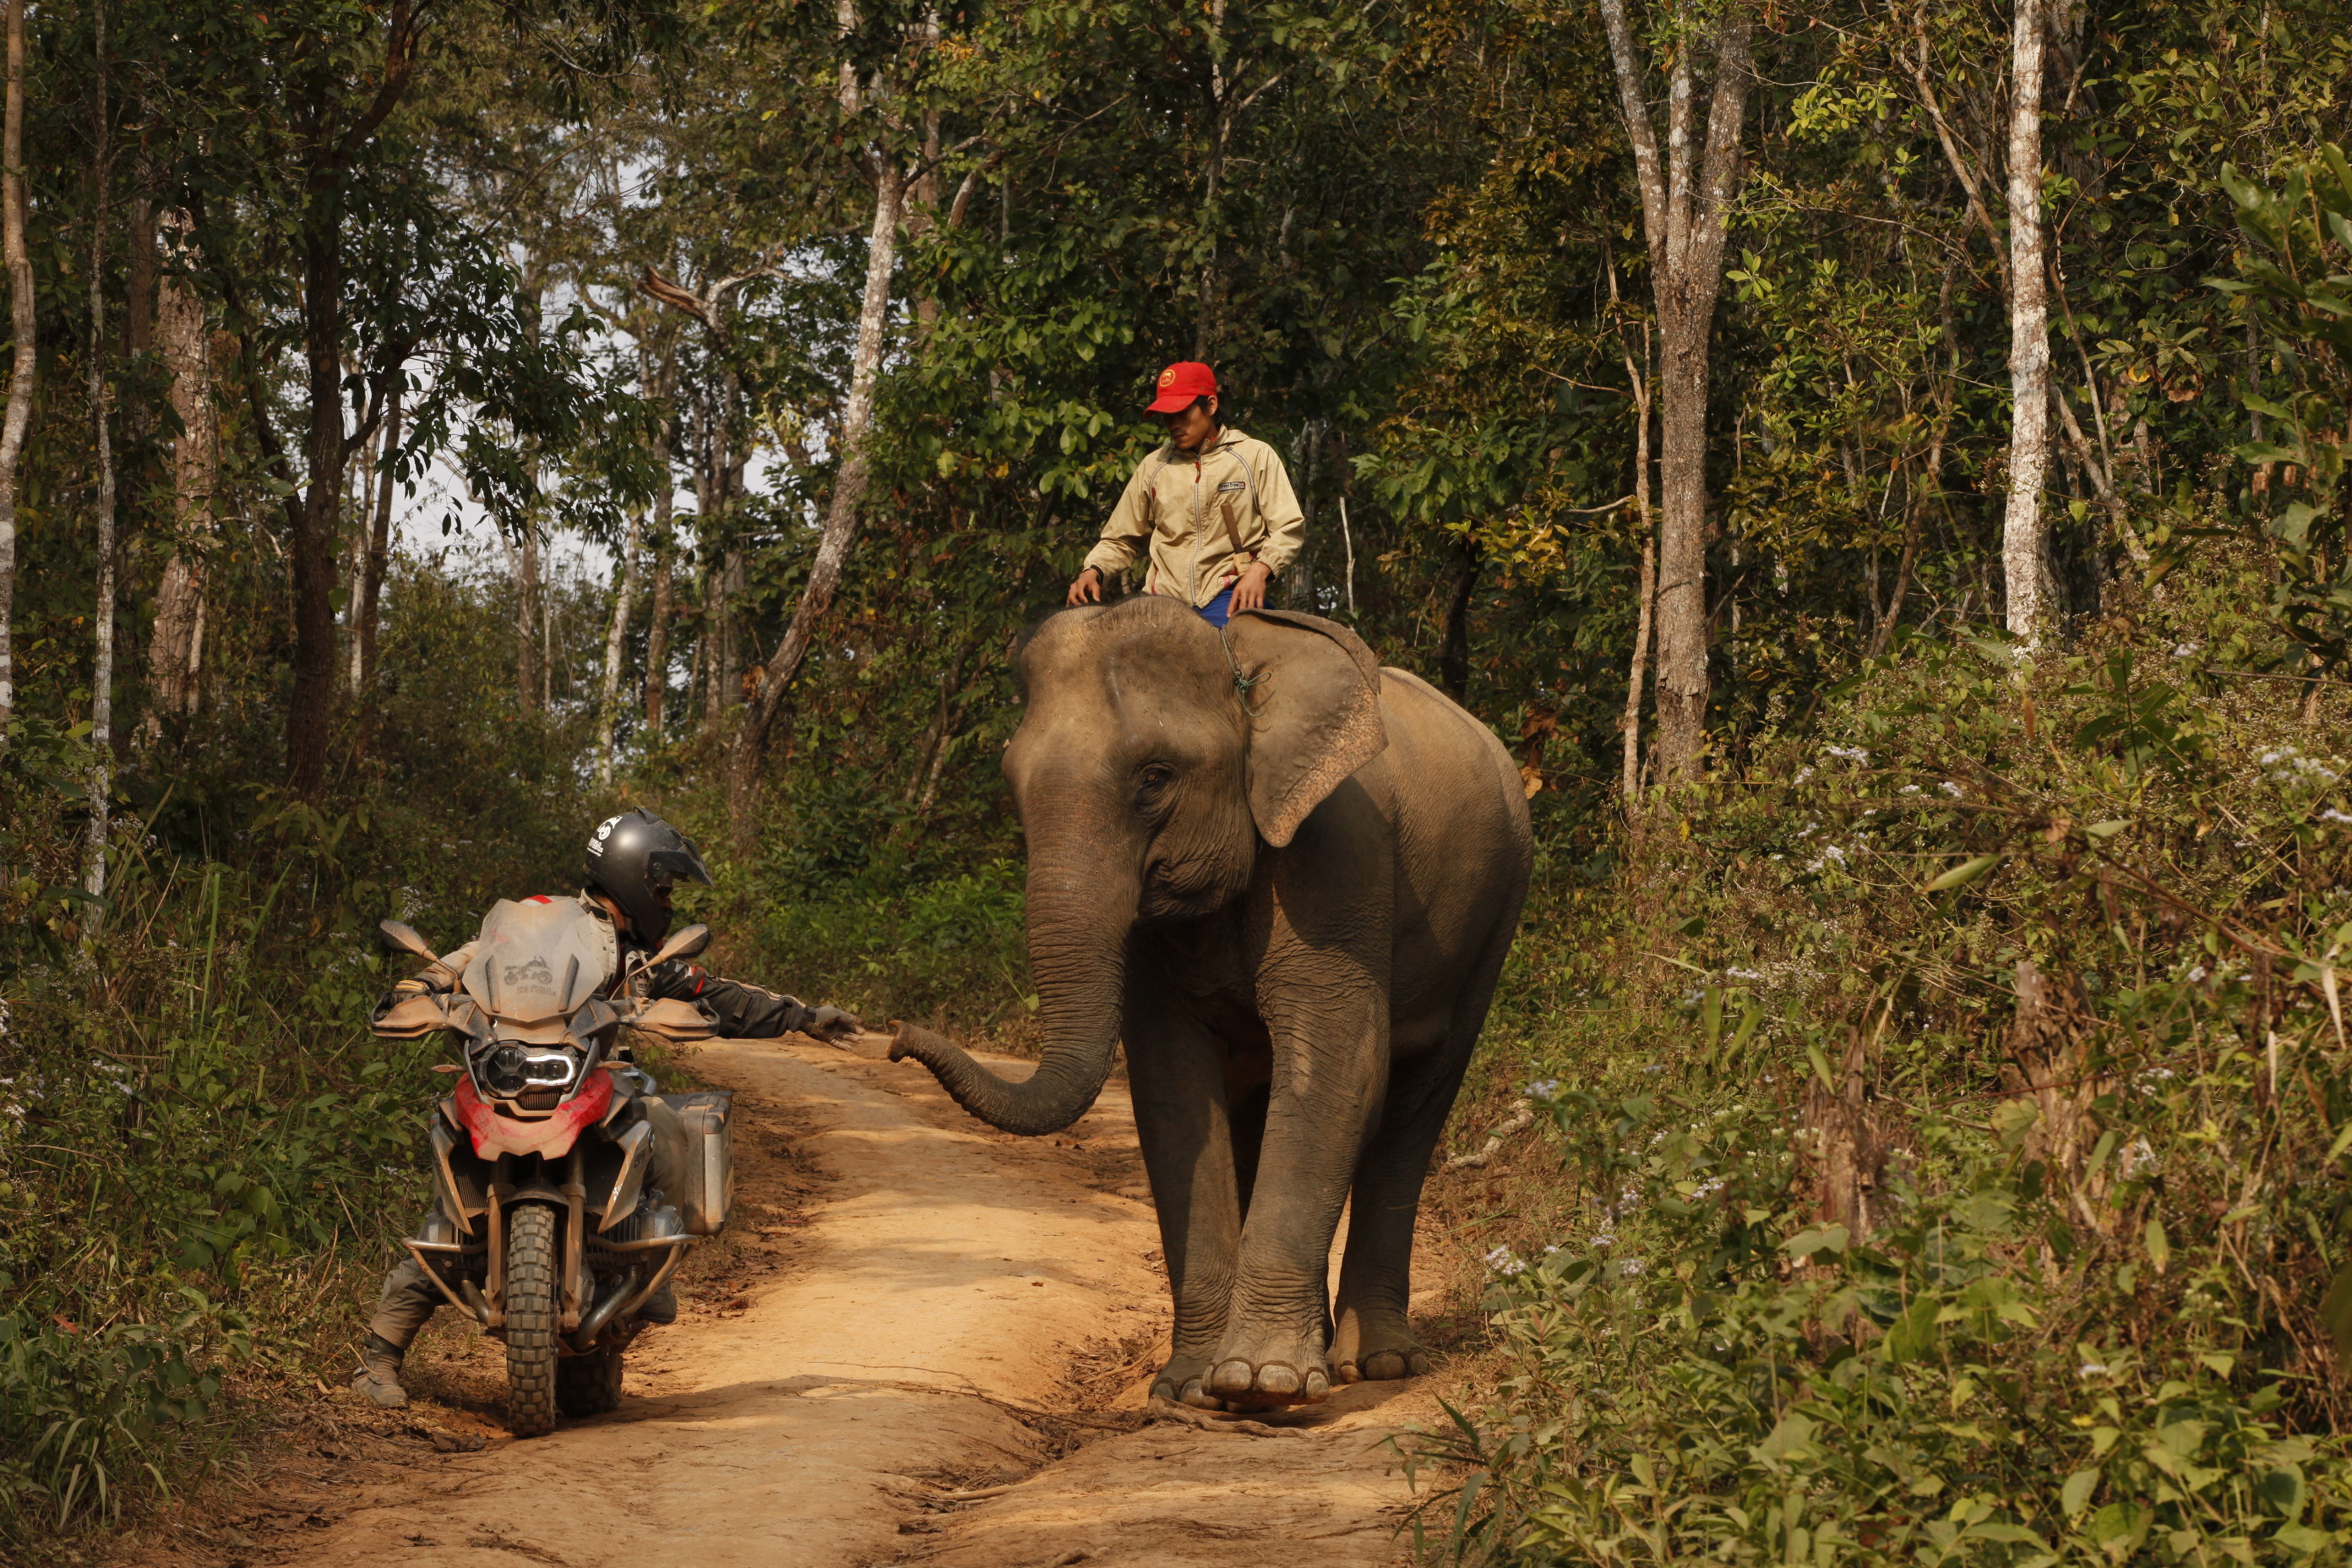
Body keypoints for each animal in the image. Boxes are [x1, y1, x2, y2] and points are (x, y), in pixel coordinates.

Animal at [889, 597, 1532, 1409]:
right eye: (1012, 782)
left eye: (1155, 777)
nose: (894, 1035)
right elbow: (1173, 1087)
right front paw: (1194, 1388)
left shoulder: (1338, 852)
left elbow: (1339, 1062)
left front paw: (1262, 1384)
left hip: (1496, 915)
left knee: (1418, 1100)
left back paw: (1376, 1365)